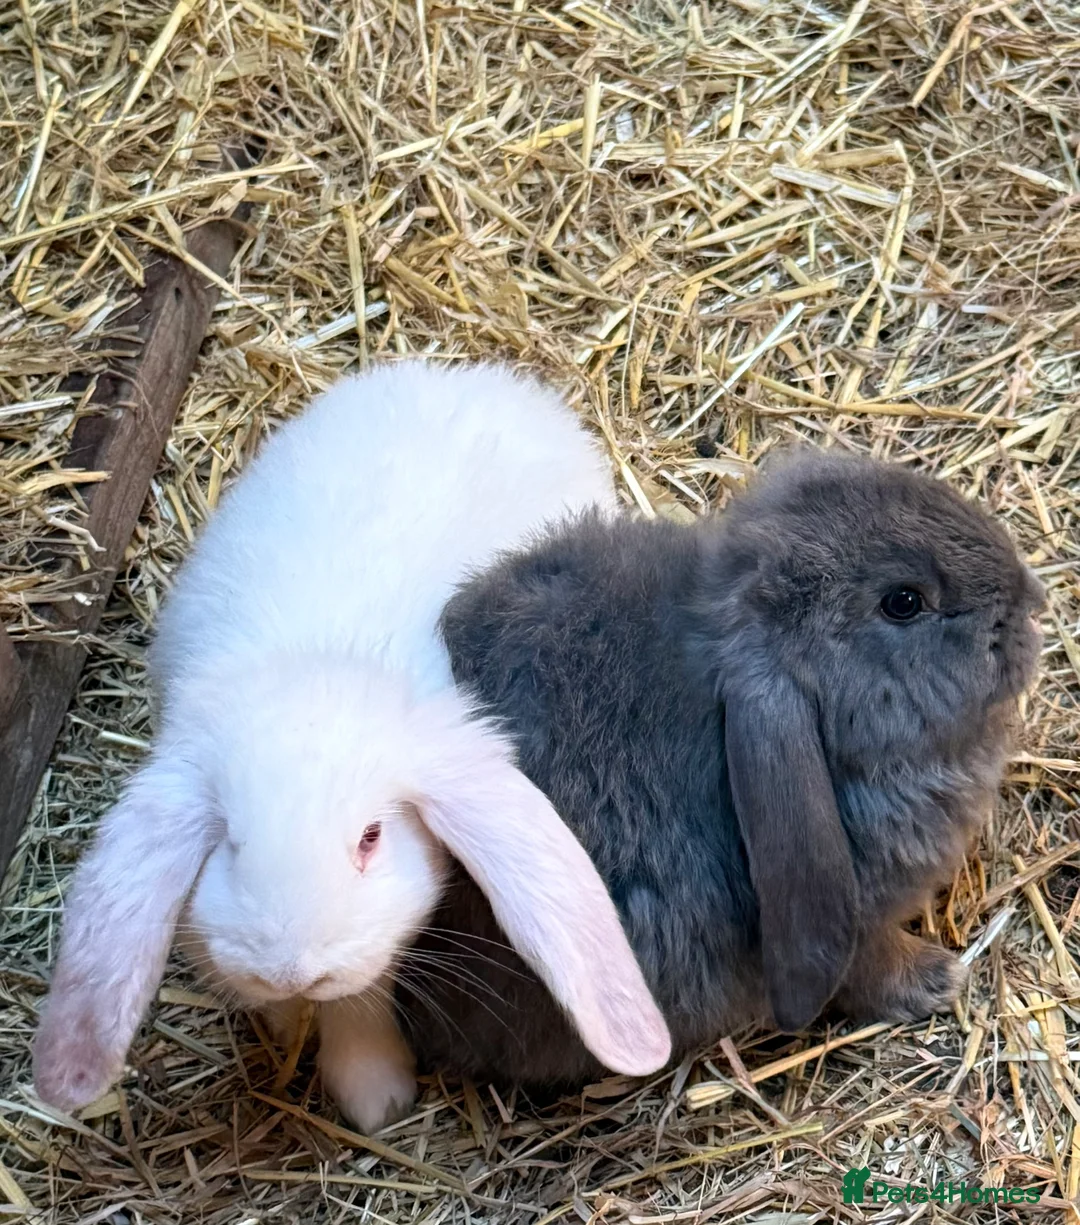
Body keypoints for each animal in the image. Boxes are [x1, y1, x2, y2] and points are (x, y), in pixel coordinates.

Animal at [32, 360, 671, 1132]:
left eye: (371, 837)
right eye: (231, 842)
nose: (290, 967)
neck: (317, 661)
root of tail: (477, 375)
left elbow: (361, 1001)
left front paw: (377, 1098)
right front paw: (284, 1018)